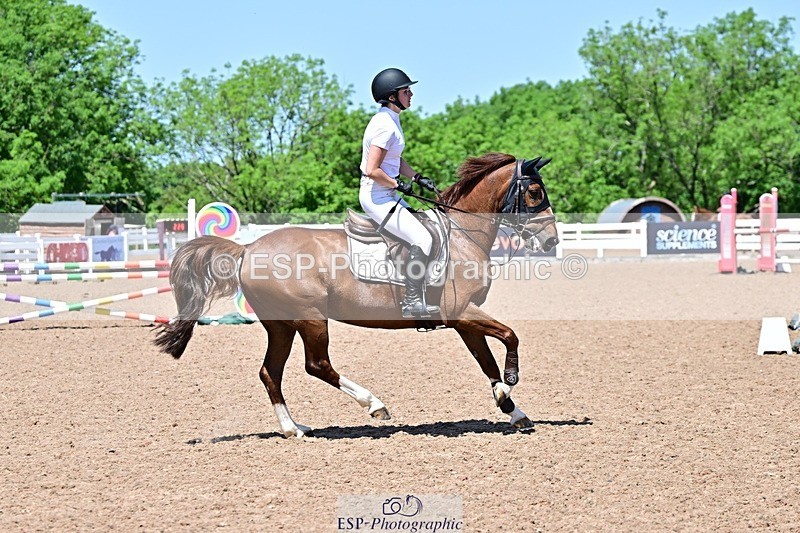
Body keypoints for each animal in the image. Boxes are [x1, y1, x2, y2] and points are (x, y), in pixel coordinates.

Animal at [154, 152, 559, 438]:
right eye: (535, 192)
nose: (552, 241)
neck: (462, 234)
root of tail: (248, 248)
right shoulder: (460, 311)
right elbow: (510, 337)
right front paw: (510, 383)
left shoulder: (463, 319)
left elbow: (486, 361)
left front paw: (512, 409)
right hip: (310, 319)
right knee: (317, 365)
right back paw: (374, 405)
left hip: (281, 324)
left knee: (271, 372)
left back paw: (293, 428)